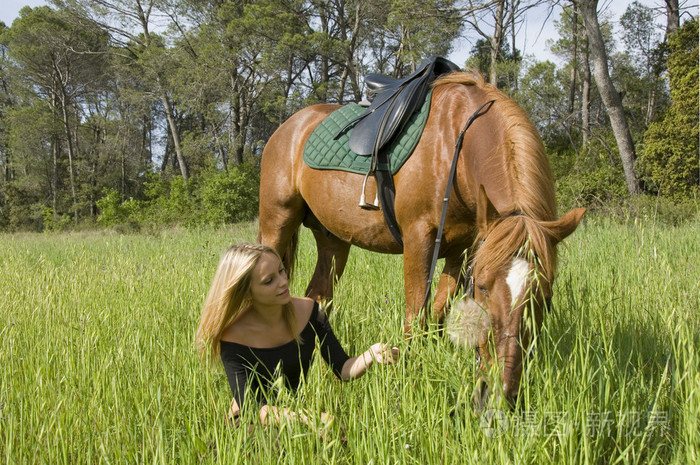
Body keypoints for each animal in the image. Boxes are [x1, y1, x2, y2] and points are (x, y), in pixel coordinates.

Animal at [258, 70, 584, 408]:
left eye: (545, 296)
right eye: (482, 287)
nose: (501, 394)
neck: (458, 147)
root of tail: (288, 126)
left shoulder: (461, 250)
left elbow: (438, 315)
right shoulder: (419, 239)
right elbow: (415, 319)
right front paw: (407, 387)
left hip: (333, 240)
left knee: (319, 299)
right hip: (276, 224)